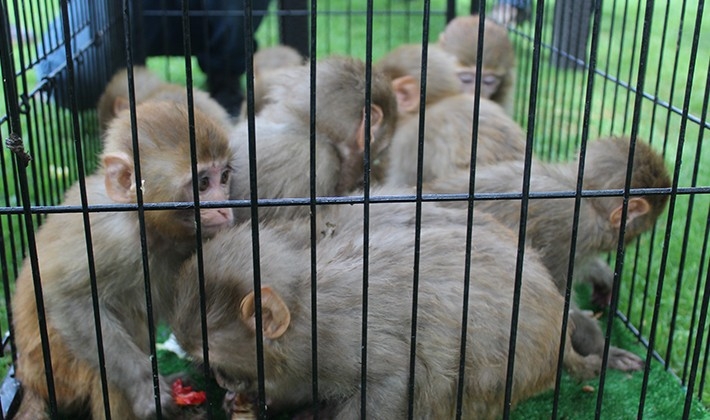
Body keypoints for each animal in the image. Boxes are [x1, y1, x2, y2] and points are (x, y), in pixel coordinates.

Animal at [11, 100, 234, 418]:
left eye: (224, 177)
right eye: (203, 184)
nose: (225, 208)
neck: (145, 225)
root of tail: (27, 379)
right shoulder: (109, 237)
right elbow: (68, 301)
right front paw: (145, 387)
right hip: (56, 371)